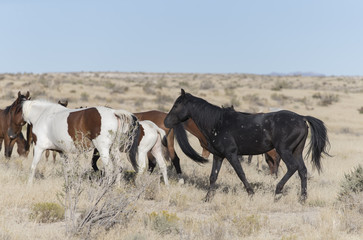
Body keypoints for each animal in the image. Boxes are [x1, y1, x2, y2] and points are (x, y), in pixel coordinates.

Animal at [9, 95, 141, 184]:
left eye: (12, 110)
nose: (10, 134)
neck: (42, 115)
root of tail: (114, 112)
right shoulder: (61, 152)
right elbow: (66, 169)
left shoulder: (39, 147)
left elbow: (33, 166)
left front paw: (29, 184)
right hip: (113, 149)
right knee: (119, 168)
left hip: (103, 149)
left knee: (109, 169)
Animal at [166, 89, 332, 202]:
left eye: (176, 105)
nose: (166, 122)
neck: (218, 123)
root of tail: (302, 118)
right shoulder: (218, 156)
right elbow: (213, 177)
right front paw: (207, 198)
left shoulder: (231, 155)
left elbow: (241, 173)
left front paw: (251, 193)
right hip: (296, 151)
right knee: (302, 171)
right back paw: (302, 198)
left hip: (284, 150)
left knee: (292, 167)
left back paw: (277, 192)